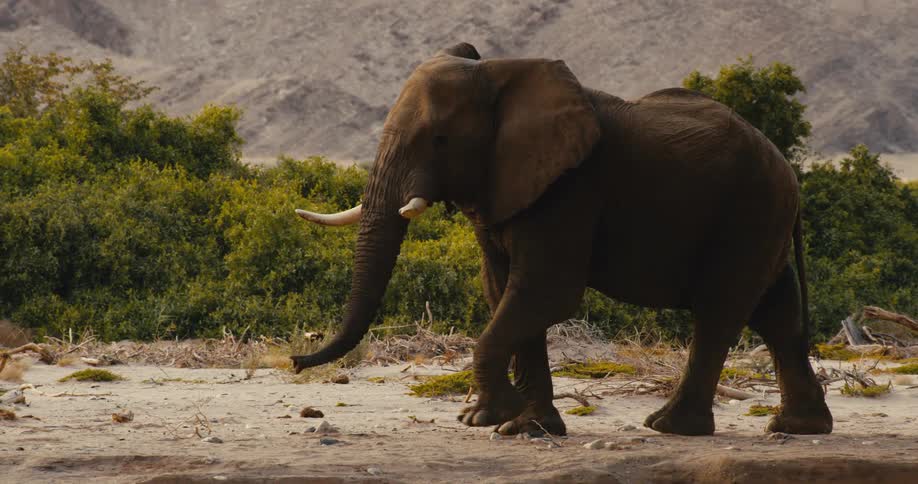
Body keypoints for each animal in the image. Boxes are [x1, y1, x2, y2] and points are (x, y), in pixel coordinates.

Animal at [291, 42, 833, 437]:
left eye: (440, 140)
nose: (297, 359)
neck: (497, 74)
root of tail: (789, 169)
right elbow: (502, 290)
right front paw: (521, 427)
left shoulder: (571, 188)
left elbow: (543, 292)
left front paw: (496, 417)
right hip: (762, 219)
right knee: (777, 313)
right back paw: (800, 427)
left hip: (748, 213)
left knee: (720, 314)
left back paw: (671, 427)